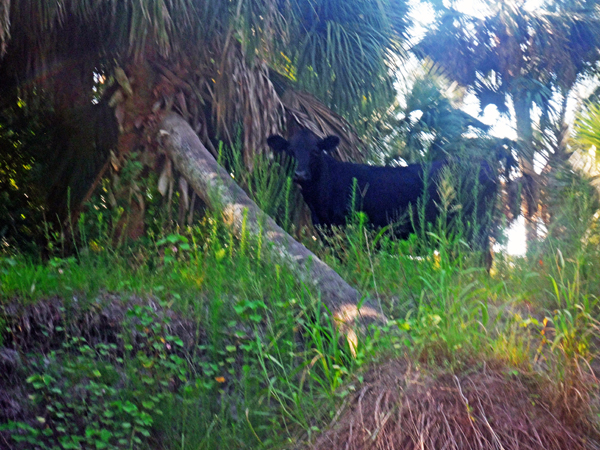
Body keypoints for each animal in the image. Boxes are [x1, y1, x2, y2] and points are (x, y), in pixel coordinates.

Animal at [268, 128, 496, 264]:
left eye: (315, 151)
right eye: (290, 150)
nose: (300, 174)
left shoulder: (343, 227)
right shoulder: (325, 229)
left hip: (473, 227)